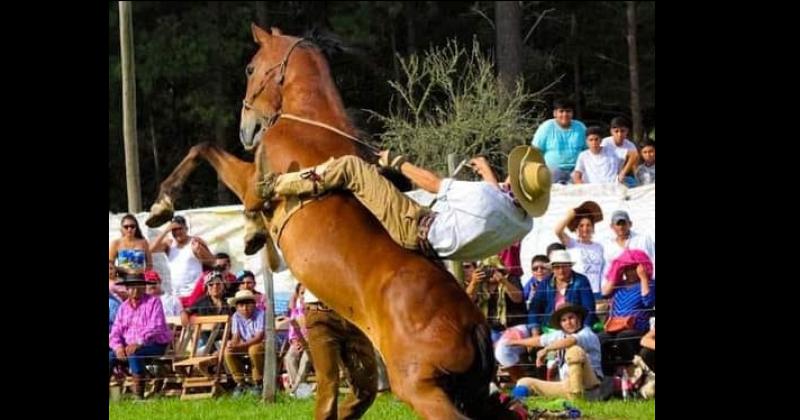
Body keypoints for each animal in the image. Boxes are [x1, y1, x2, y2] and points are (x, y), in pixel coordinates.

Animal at [147, 24, 516, 418]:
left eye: (249, 68)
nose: (247, 129)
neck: (311, 122)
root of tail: (475, 326)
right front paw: (252, 233)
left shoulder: (251, 182)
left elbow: (203, 149)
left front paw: (161, 207)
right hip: (470, 393)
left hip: (422, 390)